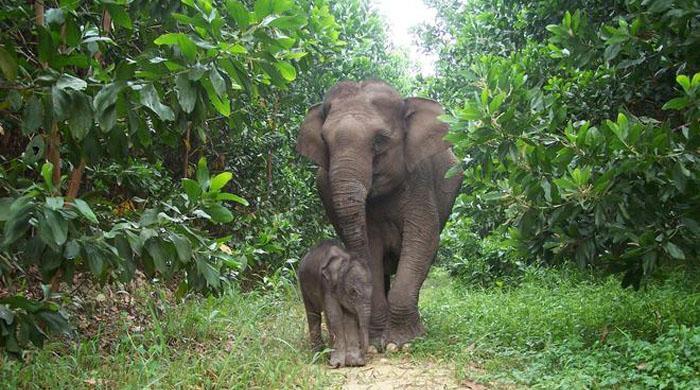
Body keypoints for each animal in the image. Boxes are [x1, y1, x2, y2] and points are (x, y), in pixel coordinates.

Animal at [296, 80, 464, 348]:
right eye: (324, 141)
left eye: (380, 140)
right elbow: (371, 245)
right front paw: (377, 342)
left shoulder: (420, 178)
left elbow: (422, 239)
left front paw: (401, 342)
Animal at [296, 239, 372, 368]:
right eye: (353, 292)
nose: (363, 359)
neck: (345, 260)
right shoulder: (326, 285)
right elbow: (335, 316)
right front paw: (336, 364)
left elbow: (349, 319)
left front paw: (354, 363)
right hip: (303, 285)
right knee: (313, 314)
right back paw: (318, 354)